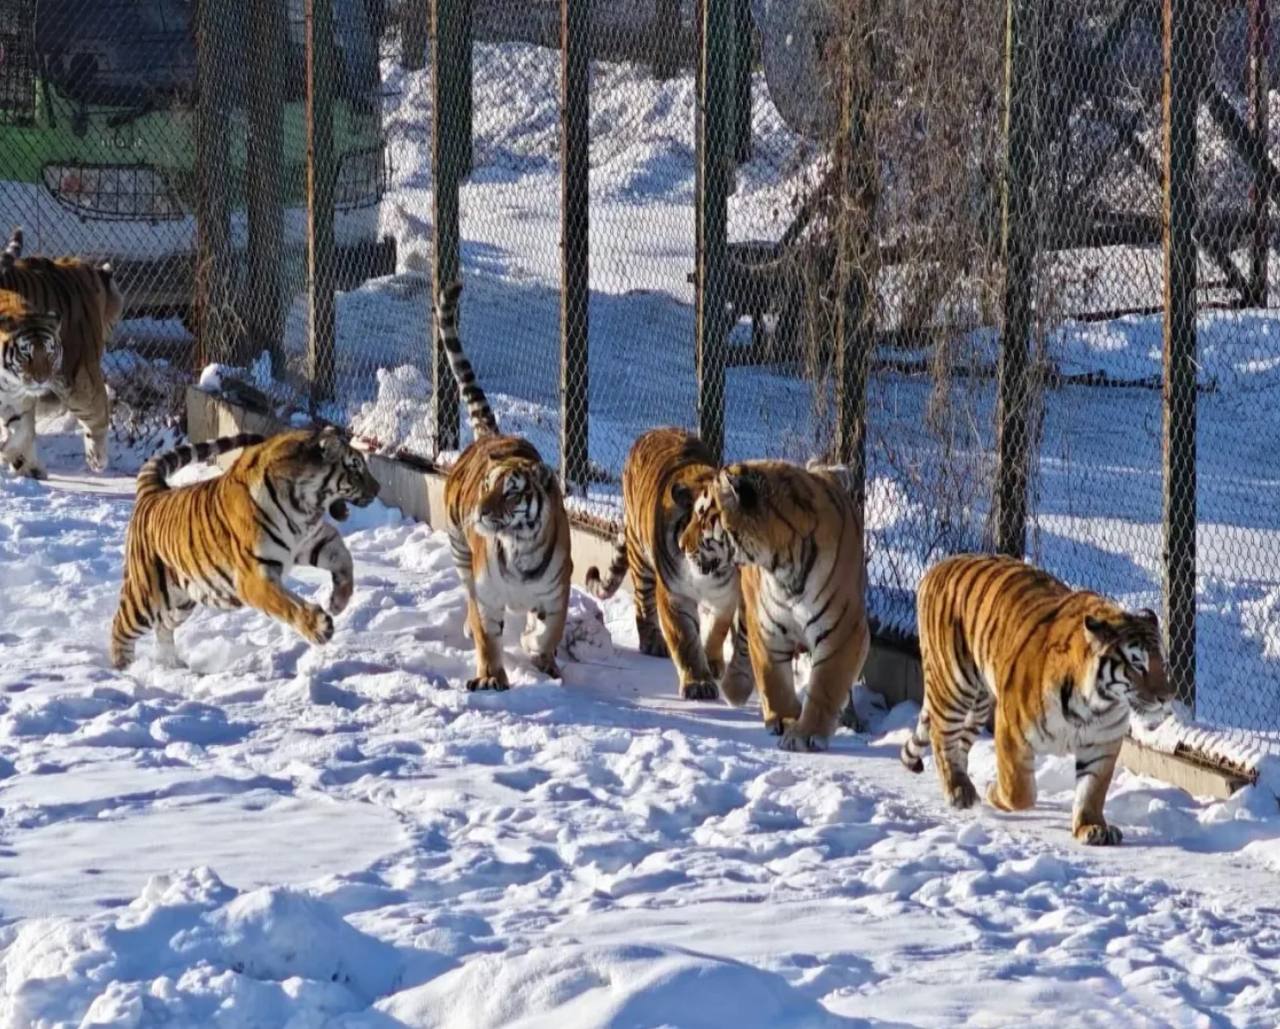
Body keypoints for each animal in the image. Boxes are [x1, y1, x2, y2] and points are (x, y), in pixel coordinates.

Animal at [109, 427, 380, 670]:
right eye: (355, 466)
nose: (377, 488)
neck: (304, 507)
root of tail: (154, 491)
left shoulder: (313, 541)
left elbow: (344, 558)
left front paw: (338, 602)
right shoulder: (254, 577)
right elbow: (288, 604)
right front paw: (319, 626)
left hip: (183, 600)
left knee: (164, 627)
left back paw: (172, 665)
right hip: (147, 595)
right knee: (120, 625)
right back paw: (125, 669)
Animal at [437, 279, 572, 692]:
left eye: (511, 491)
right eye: (487, 487)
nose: (481, 512)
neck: (519, 549)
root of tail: (493, 435)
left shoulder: (556, 595)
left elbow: (548, 632)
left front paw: (541, 657)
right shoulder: (487, 596)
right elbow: (488, 638)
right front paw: (492, 677)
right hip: (459, 550)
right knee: (466, 593)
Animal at [584, 426, 753, 704]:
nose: (685, 546)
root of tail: (654, 429)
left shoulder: (726, 594)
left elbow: (717, 630)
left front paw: (712, 662)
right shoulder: (675, 596)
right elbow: (685, 641)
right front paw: (698, 684)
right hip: (641, 560)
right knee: (643, 605)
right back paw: (652, 642)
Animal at [681, 459, 870, 751]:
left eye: (702, 517)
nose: (681, 544)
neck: (782, 563)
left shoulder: (843, 629)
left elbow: (826, 685)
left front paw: (805, 734)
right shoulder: (767, 627)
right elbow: (774, 680)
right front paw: (784, 719)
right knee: (741, 644)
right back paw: (734, 688)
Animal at [900, 553, 1173, 845]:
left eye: (1162, 663)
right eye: (1138, 665)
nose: (1166, 697)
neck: (1096, 705)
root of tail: (939, 566)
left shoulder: (1103, 742)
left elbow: (1092, 790)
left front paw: (1091, 827)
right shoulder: (1011, 729)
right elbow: (1019, 792)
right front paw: (993, 791)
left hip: (979, 702)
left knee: (959, 743)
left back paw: (965, 785)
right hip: (954, 685)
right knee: (943, 737)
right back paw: (959, 791)